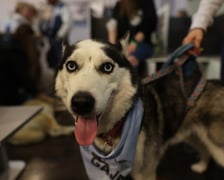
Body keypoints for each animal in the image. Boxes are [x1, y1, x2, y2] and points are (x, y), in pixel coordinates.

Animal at [54, 37, 224, 179]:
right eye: (71, 65)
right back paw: (201, 166)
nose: (81, 103)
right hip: (193, 135)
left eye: (107, 67)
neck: (114, 130)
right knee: (204, 149)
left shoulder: (145, 173)